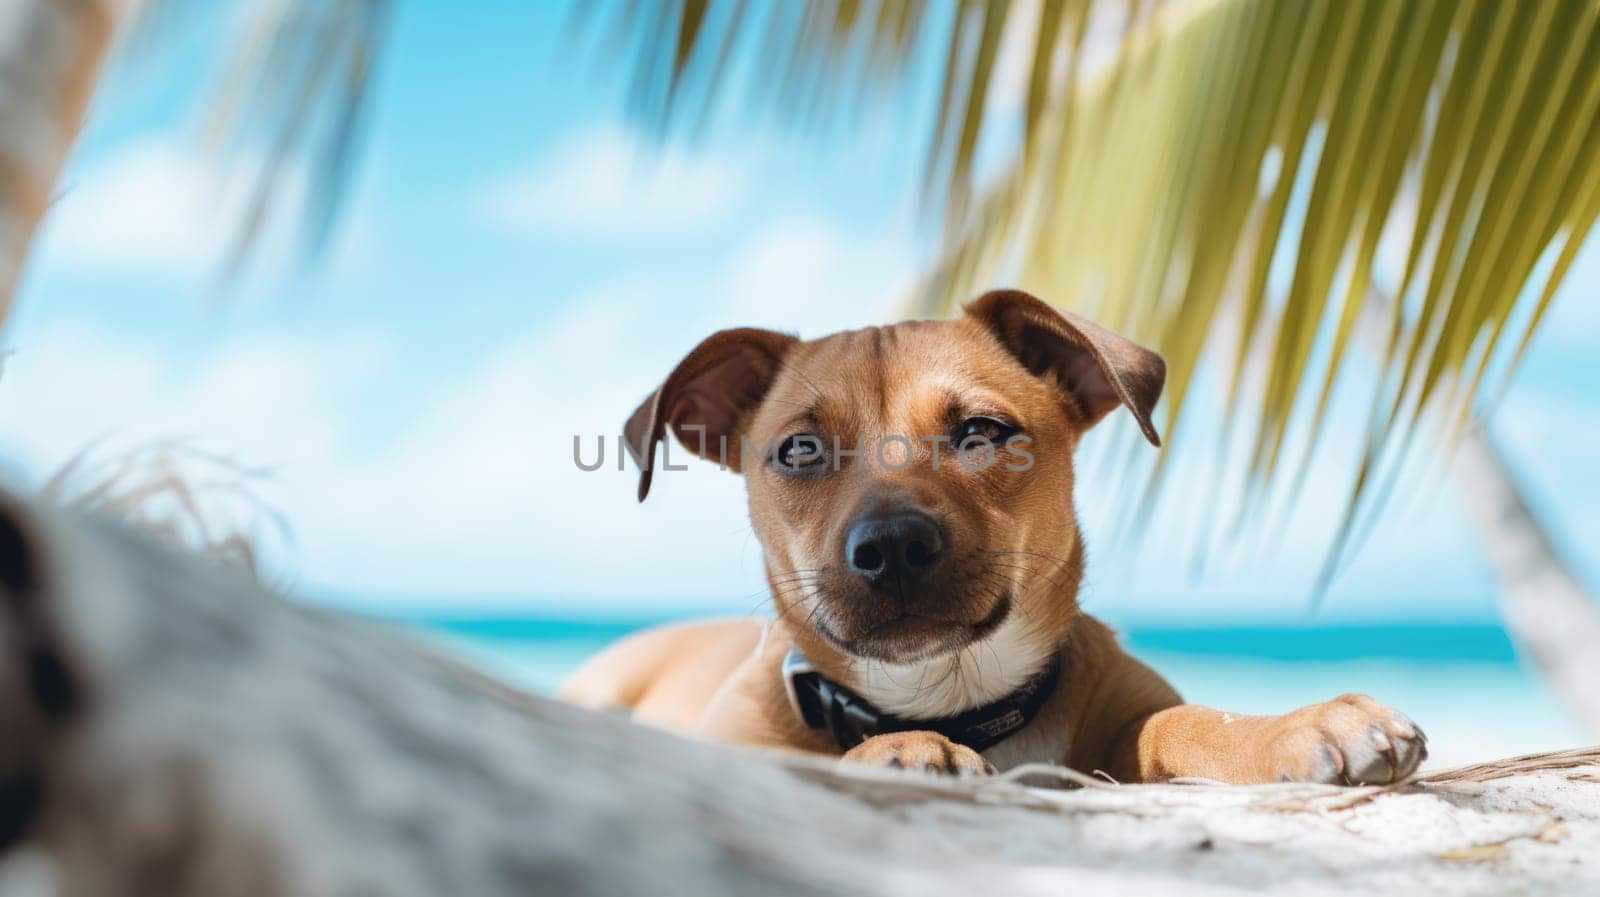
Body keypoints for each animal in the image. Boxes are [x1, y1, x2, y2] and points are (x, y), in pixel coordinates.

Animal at [560, 291, 1427, 780]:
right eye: (800, 450)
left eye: (982, 432)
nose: (892, 546)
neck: (948, 696)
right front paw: (896, 751)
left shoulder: (1135, 711)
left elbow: (1189, 722)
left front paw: (1298, 723)